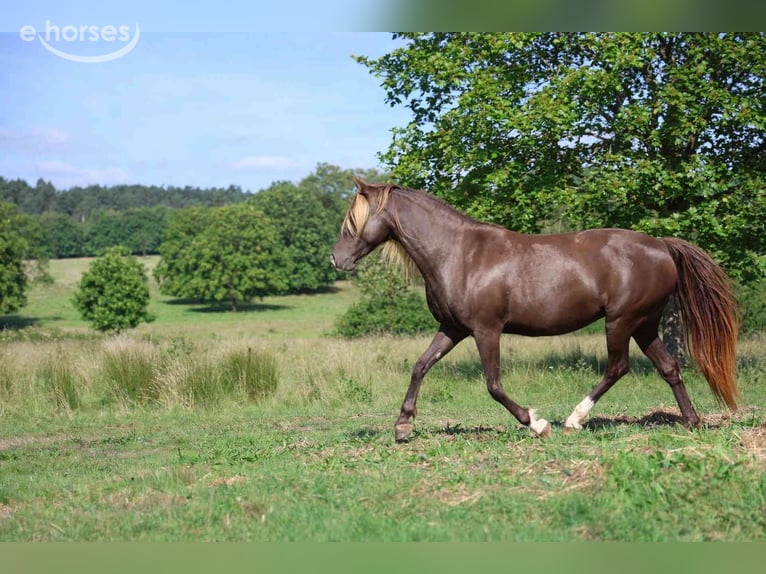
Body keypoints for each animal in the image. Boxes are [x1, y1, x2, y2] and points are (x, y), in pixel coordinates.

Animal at [331, 176, 740, 441]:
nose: (336, 259)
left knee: (618, 367)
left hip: (621, 321)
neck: (459, 254)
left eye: (353, 222)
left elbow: (494, 385)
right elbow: (420, 366)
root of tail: (661, 245)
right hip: (644, 324)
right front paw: (403, 426)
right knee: (669, 367)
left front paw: (535, 423)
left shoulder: (486, 330)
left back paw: (574, 420)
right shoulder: (452, 329)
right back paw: (692, 422)